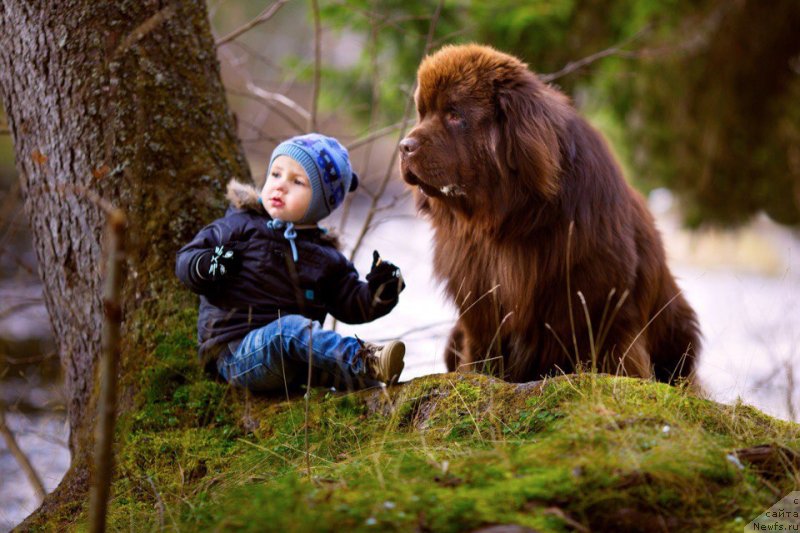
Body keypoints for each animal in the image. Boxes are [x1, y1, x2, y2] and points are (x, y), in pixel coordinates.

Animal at [400, 42, 700, 382]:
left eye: (453, 114)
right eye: (422, 113)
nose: (404, 146)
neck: (504, 220)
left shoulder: (603, 304)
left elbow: (613, 352)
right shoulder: (479, 305)